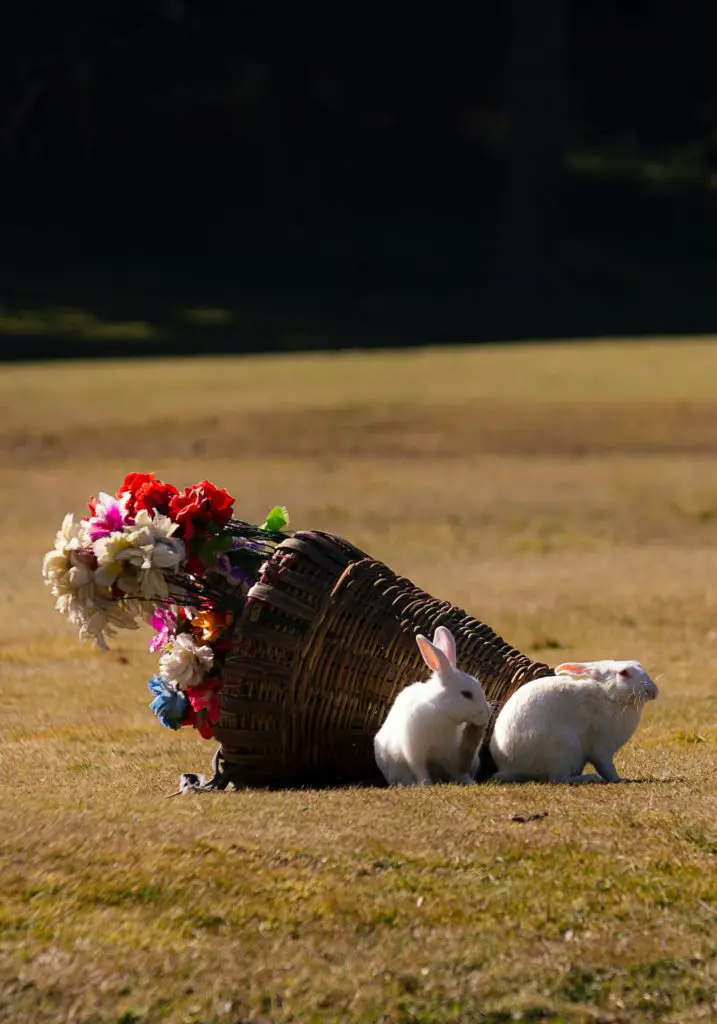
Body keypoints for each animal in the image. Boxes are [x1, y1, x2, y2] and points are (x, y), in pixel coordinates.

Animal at [374, 622, 493, 782]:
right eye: (467, 694)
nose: (487, 713)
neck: (441, 713)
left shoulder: (449, 755)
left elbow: (456, 771)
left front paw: (467, 781)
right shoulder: (415, 753)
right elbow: (420, 770)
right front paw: (426, 784)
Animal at [489, 655, 659, 782]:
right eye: (624, 673)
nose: (653, 691)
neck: (609, 697)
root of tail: (507, 767)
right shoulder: (601, 748)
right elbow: (607, 768)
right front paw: (620, 779)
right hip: (565, 749)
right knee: (558, 779)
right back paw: (590, 778)